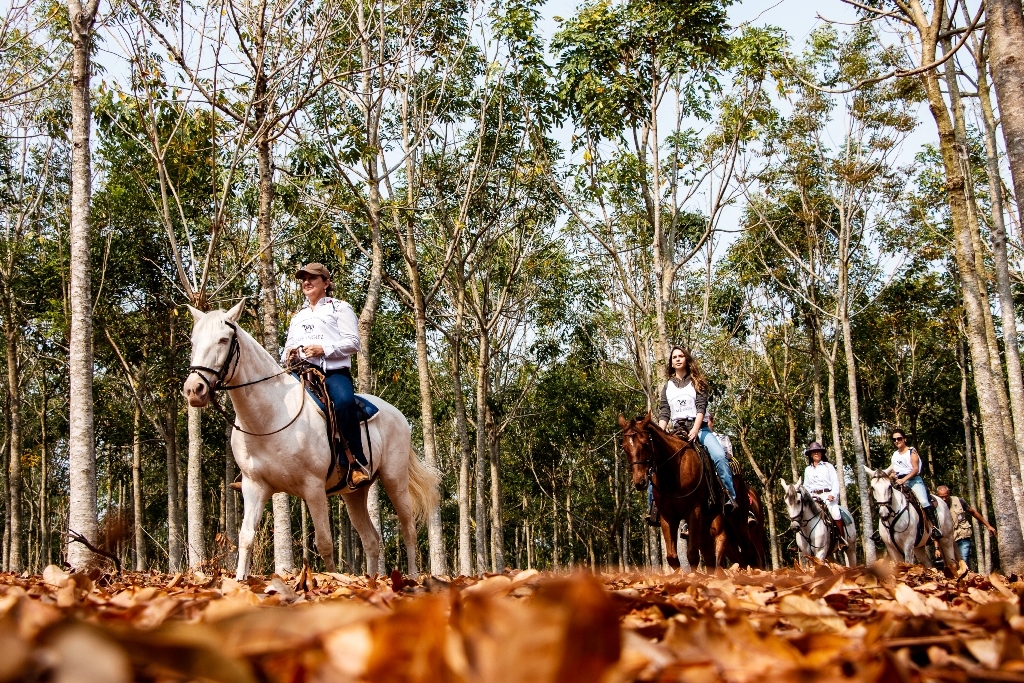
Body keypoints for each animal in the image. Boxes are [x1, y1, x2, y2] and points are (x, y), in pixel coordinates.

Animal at [184, 301, 440, 581]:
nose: (193, 389)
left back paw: (413, 578)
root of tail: (397, 414)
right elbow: (246, 537)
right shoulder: (254, 487)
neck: (271, 415)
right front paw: (240, 581)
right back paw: (371, 580)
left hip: (395, 480)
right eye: (193, 341)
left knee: (408, 529)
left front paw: (332, 580)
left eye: (223, 340)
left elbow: (325, 542)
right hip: (354, 493)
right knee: (371, 539)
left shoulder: (313, 488)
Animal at [618, 413, 765, 569]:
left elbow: (693, 555)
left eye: (646, 444)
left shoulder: (694, 512)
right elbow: (672, 557)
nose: (640, 482)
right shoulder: (667, 517)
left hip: (740, 521)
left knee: (750, 554)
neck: (673, 473)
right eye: (625, 447)